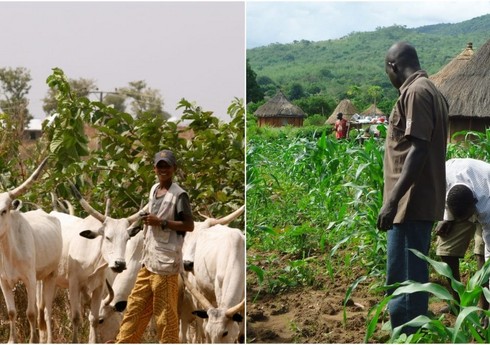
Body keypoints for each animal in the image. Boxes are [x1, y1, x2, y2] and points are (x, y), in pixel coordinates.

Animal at [0, 158, 63, 342]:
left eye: (3, 211)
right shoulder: (3, 281)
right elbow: (11, 312)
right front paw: (12, 340)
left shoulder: (29, 279)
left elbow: (31, 313)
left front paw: (32, 340)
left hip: (51, 275)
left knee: (46, 310)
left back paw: (48, 340)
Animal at [52, 187, 140, 342]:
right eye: (107, 237)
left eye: (127, 238)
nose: (120, 264)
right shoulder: (74, 284)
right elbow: (76, 317)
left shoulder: (99, 287)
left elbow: (92, 318)